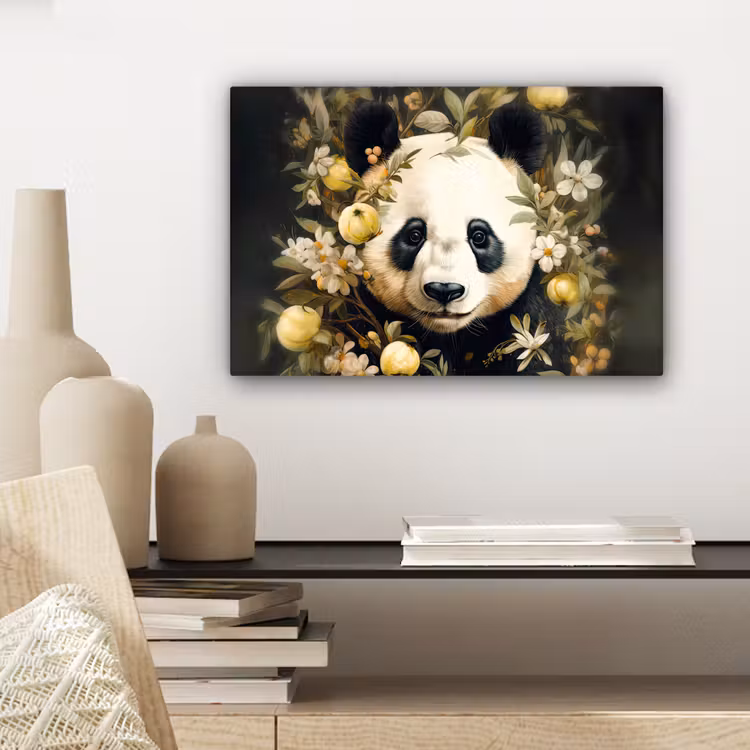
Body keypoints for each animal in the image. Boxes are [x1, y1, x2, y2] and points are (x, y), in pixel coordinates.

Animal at [344, 101, 566, 375]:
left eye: (479, 236)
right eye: (414, 235)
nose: (444, 290)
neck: (450, 335)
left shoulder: (528, 321)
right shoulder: (364, 315)